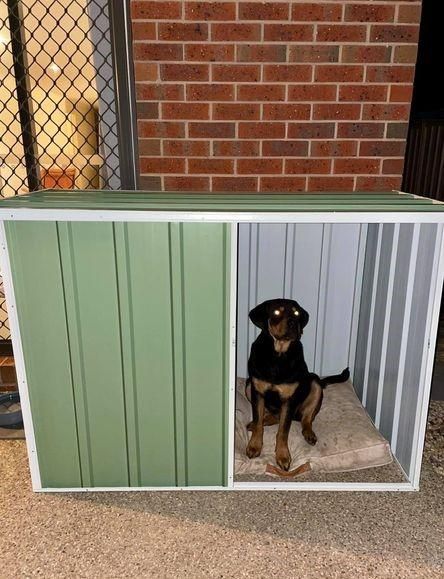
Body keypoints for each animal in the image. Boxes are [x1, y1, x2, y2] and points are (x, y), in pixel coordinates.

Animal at [245, 300, 348, 472]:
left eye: (296, 313)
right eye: (276, 312)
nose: (293, 323)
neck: (278, 355)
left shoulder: (289, 399)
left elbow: (283, 431)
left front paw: (282, 456)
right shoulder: (257, 390)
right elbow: (258, 421)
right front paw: (254, 446)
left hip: (314, 384)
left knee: (306, 418)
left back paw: (309, 433)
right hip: (248, 385)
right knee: (270, 416)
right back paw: (256, 422)